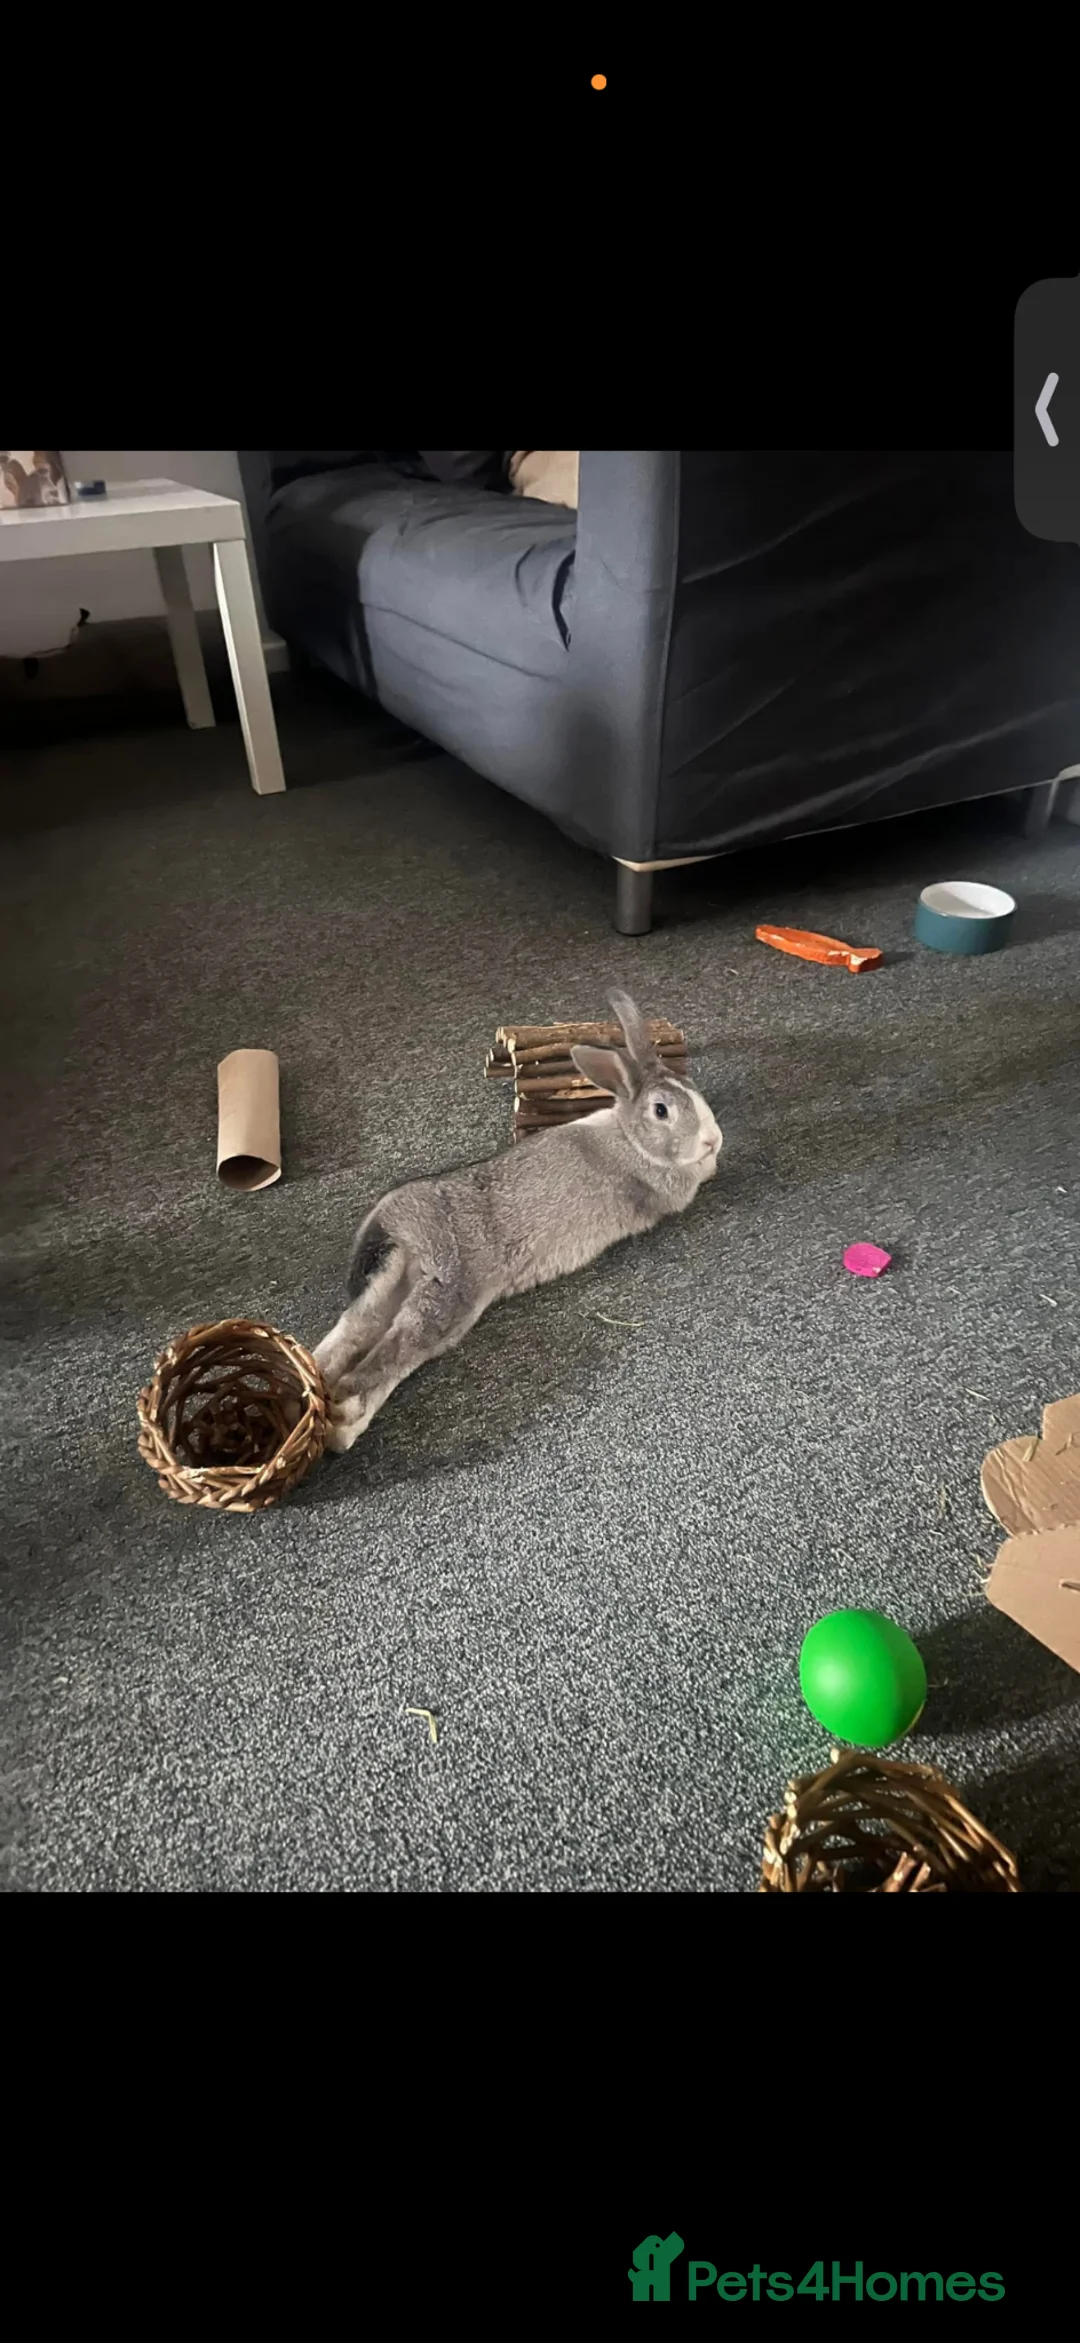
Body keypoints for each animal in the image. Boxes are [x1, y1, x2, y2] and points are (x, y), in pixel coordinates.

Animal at [314, 990, 722, 1452]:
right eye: (661, 1111)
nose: (713, 1139)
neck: (631, 1137)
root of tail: (401, 1226)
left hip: (392, 1283)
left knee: (356, 1326)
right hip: (449, 1290)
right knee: (399, 1346)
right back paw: (344, 1421)